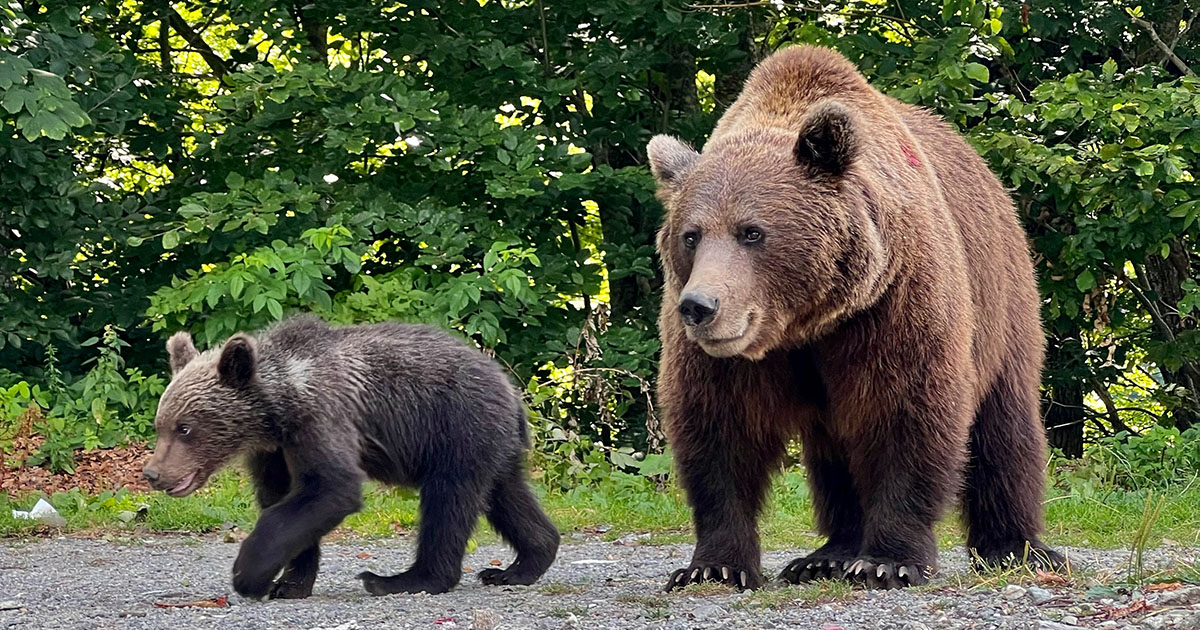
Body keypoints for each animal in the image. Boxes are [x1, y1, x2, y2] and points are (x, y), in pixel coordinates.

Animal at [652, 45, 1065, 590]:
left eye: (752, 232)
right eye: (691, 235)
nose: (700, 307)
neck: (807, 322)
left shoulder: (893, 304)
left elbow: (906, 412)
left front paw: (889, 560)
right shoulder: (729, 357)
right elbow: (720, 430)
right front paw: (713, 566)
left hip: (1001, 299)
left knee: (1004, 428)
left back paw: (1016, 547)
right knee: (836, 448)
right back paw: (826, 555)